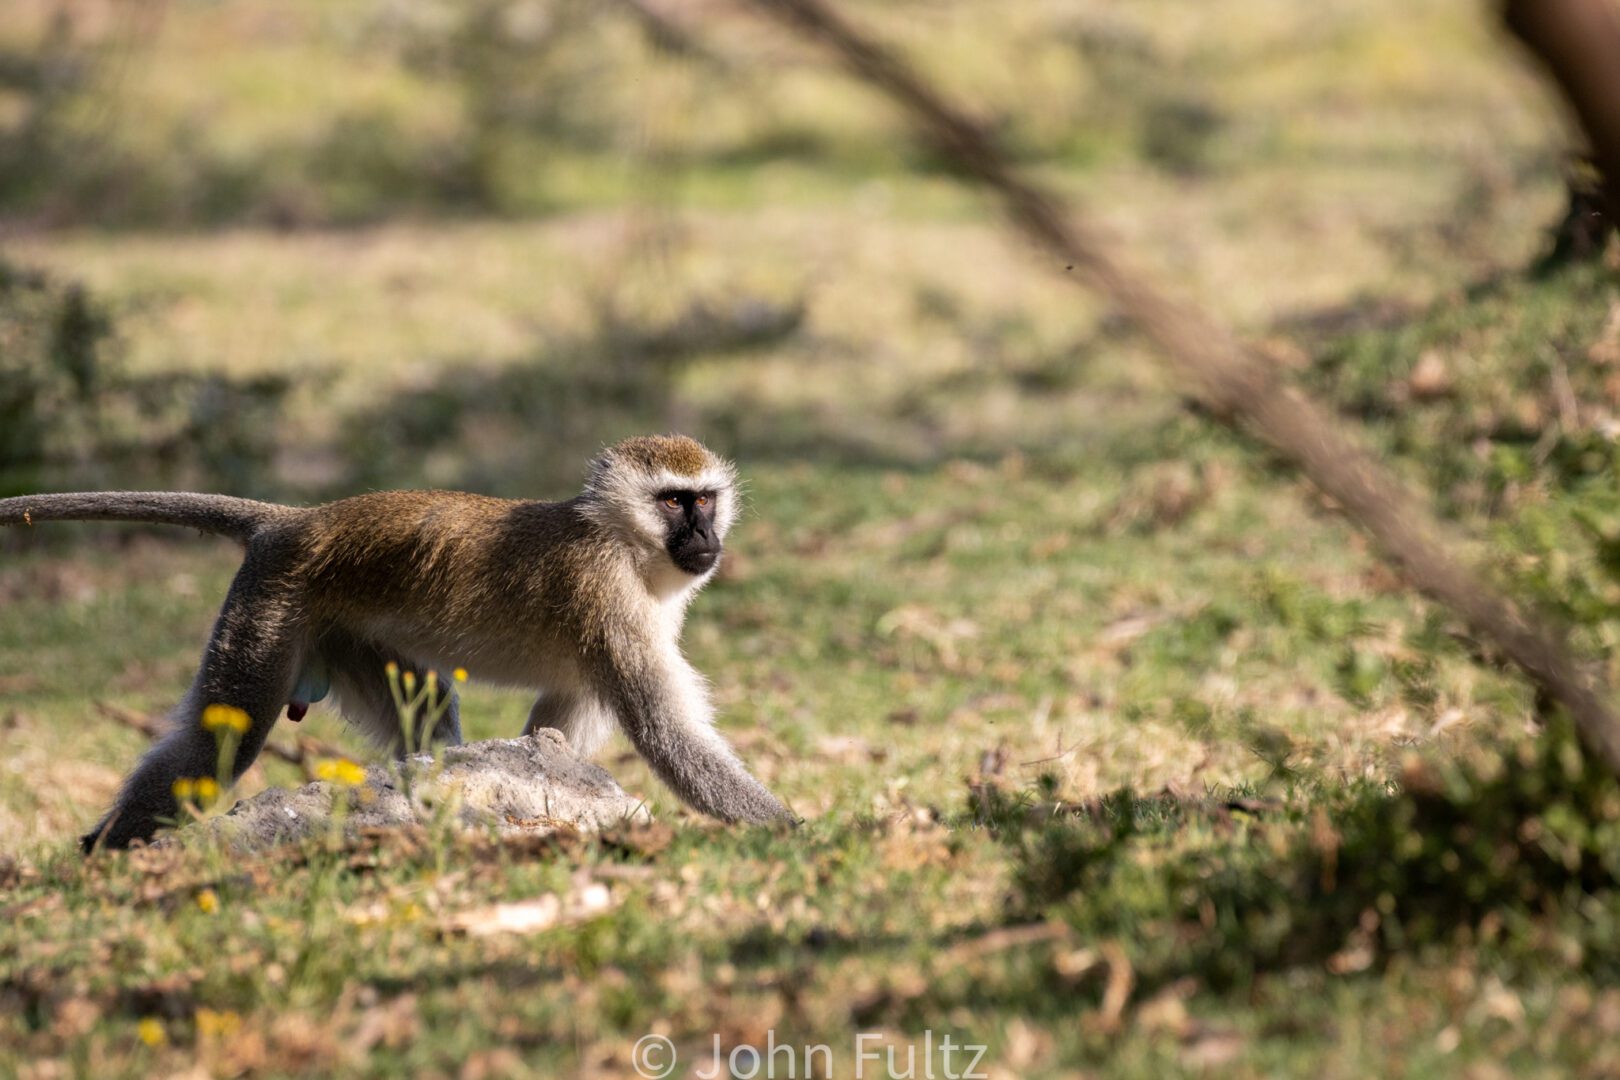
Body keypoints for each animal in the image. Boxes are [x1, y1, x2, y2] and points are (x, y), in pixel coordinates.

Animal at [0, 433, 797, 848]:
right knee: (215, 740)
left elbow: (552, 734)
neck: (625, 545)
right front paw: (794, 828)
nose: (705, 538)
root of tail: (294, 519)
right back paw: (104, 851)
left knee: (428, 718)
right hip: (269, 607)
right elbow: (665, 731)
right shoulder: (604, 597)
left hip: (346, 632)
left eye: (706, 500)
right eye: (673, 501)